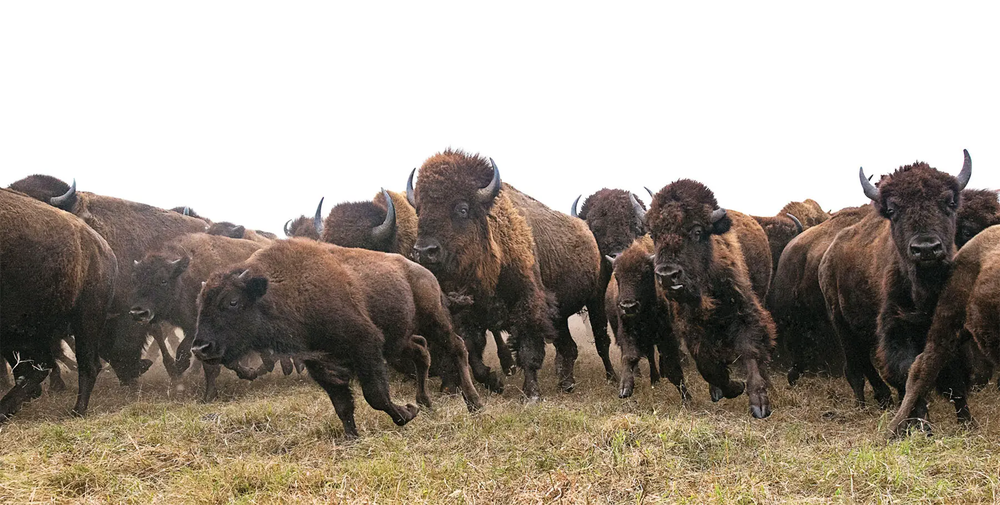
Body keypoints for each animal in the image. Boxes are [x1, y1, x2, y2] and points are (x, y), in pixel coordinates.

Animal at [191, 238, 482, 438]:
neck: (285, 288)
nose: (201, 347)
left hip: (434, 321)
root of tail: (424, 272)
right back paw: (426, 402)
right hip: (398, 340)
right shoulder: (320, 364)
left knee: (457, 348)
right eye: (200, 303)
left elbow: (375, 395)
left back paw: (474, 403)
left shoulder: (366, 345)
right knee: (421, 351)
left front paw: (407, 413)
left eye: (232, 301)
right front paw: (352, 438)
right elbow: (342, 404)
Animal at [647, 179, 776, 418]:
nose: (667, 275)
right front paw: (732, 388)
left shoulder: (746, 313)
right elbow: (707, 363)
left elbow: (750, 350)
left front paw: (759, 405)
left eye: (697, 231)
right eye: (653, 235)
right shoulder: (690, 327)